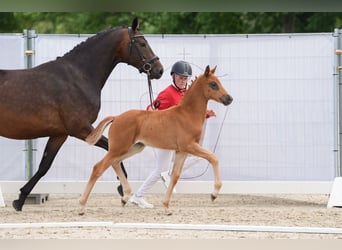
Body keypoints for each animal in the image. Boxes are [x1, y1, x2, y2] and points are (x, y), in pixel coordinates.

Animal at [0, 16, 163, 211]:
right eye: (142, 43)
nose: (159, 70)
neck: (79, 76)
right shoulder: (81, 129)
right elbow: (111, 150)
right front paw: (122, 190)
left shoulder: (60, 134)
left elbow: (44, 166)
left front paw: (21, 198)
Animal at [78, 65, 232, 215]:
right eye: (213, 84)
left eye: (219, 82)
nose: (229, 99)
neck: (187, 114)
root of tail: (116, 117)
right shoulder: (189, 146)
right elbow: (213, 158)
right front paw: (214, 194)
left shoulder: (181, 151)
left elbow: (175, 176)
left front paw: (166, 206)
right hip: (119, 148)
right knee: (98, 167)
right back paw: (82, 206)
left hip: (134, 148)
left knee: (115, 163)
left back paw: (125, 197)